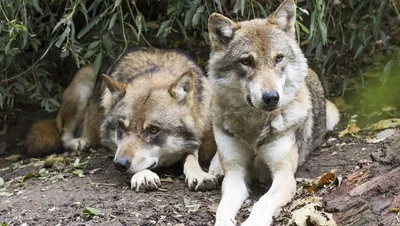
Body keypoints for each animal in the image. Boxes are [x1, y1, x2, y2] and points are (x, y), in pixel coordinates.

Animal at [25, 48, 219, 192]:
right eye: (120, 127)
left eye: (153, 130)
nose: (119, 164)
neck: (157, 71)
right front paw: (144, 175)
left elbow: (191, 156)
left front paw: (199, 174)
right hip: (82, 85)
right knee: (63, 132)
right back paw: (78, 142)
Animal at [206, 0, 340, 225]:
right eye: (246, 61)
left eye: (278, 58)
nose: (271, 97)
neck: (253, 126)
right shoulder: (235, 174)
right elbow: (223, 207)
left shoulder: (284, 176)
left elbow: (262, 203)